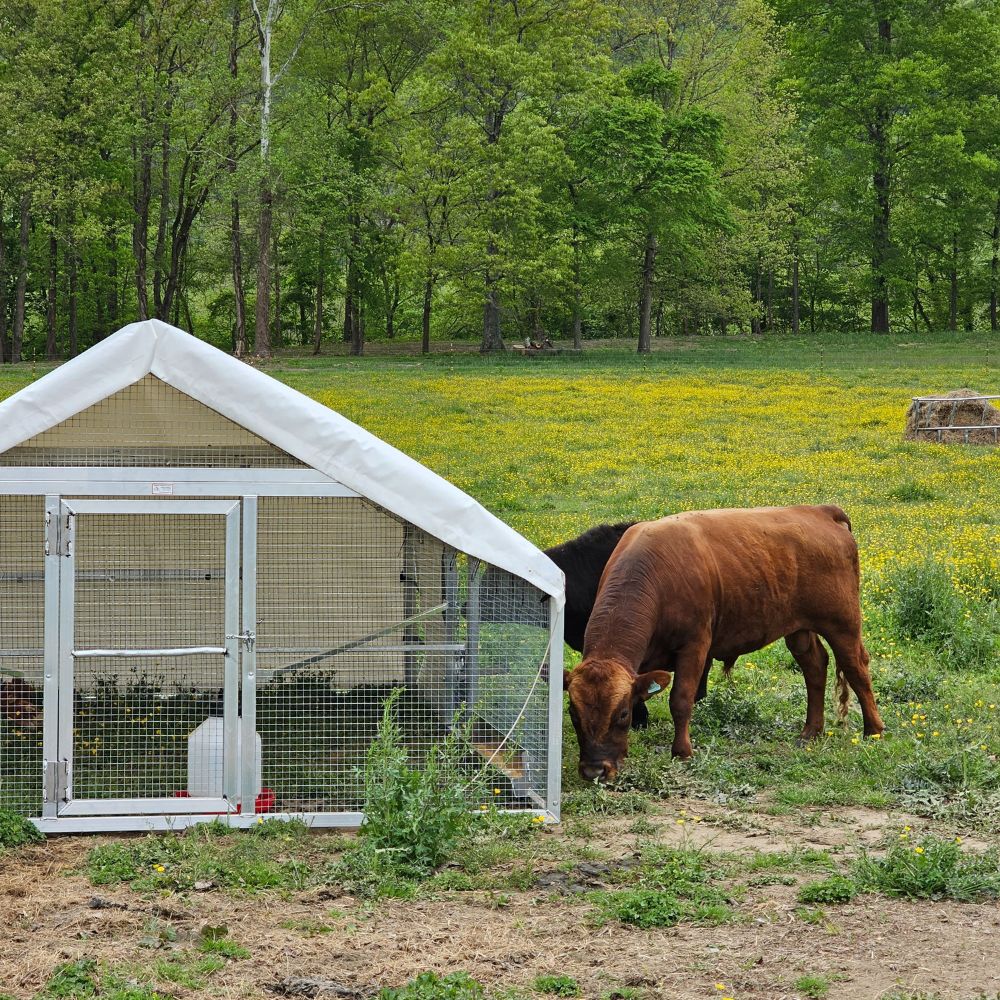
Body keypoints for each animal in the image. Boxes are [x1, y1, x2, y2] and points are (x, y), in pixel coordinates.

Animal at [564, 508, 884, 780]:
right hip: (799, 628)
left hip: (842, 623)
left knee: (856, 668)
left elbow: (681, 700)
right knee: (815, 668)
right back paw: (811, 731)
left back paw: (873, 730)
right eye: (573, 714)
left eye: (622, 714)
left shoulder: (694, 646)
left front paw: (682, 752)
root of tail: (820, 510)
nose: (594, 770)